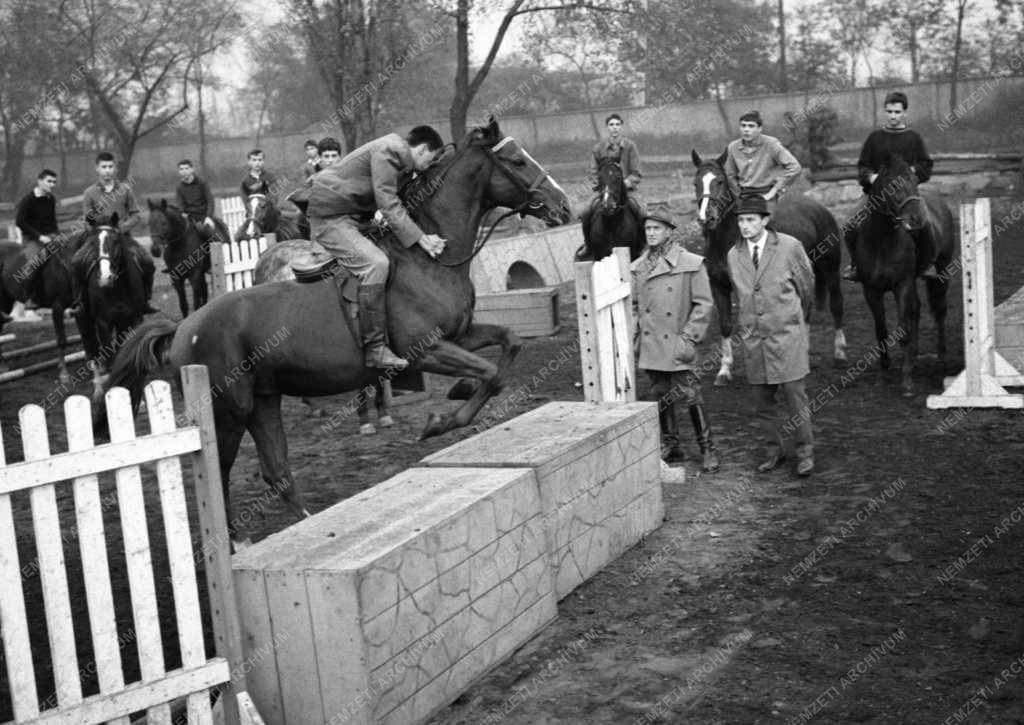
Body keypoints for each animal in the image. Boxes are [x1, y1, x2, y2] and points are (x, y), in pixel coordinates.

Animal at [107, 118, 573, 536]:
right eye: (517, 160)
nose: (565, 206)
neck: (428, 259)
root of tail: (183, 328)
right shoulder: (426, 350)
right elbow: (491, 373)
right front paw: (439, 422)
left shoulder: (460, 336)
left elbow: (509, 345)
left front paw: (458, 392)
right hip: (229, 410)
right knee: (218, 473)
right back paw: (235, 543)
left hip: (264, 401)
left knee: (276, 470)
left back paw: (305, 523)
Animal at [696, 148, 847, 385]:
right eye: (696, 182)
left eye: (719, 181)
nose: (706, 217)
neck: (729, 238)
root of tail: (819, 208)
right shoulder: (718, 285)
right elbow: (726, 325)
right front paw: (724, 371)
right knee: (805, 310)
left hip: (830, 268)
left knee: (836, 305)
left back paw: (840, 355)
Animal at [847, 152, 950, 397]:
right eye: (893, 185)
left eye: (914, 181)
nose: (915, 220)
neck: (882, 240)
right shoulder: (871, 290)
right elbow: (881, 331)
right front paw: (884, 374)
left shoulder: (901, 285)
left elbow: (902, 330)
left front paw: (907, 381)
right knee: (918, 310)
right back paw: (915, 353)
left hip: (942, 271)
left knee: (940, 310)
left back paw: (941, 355)